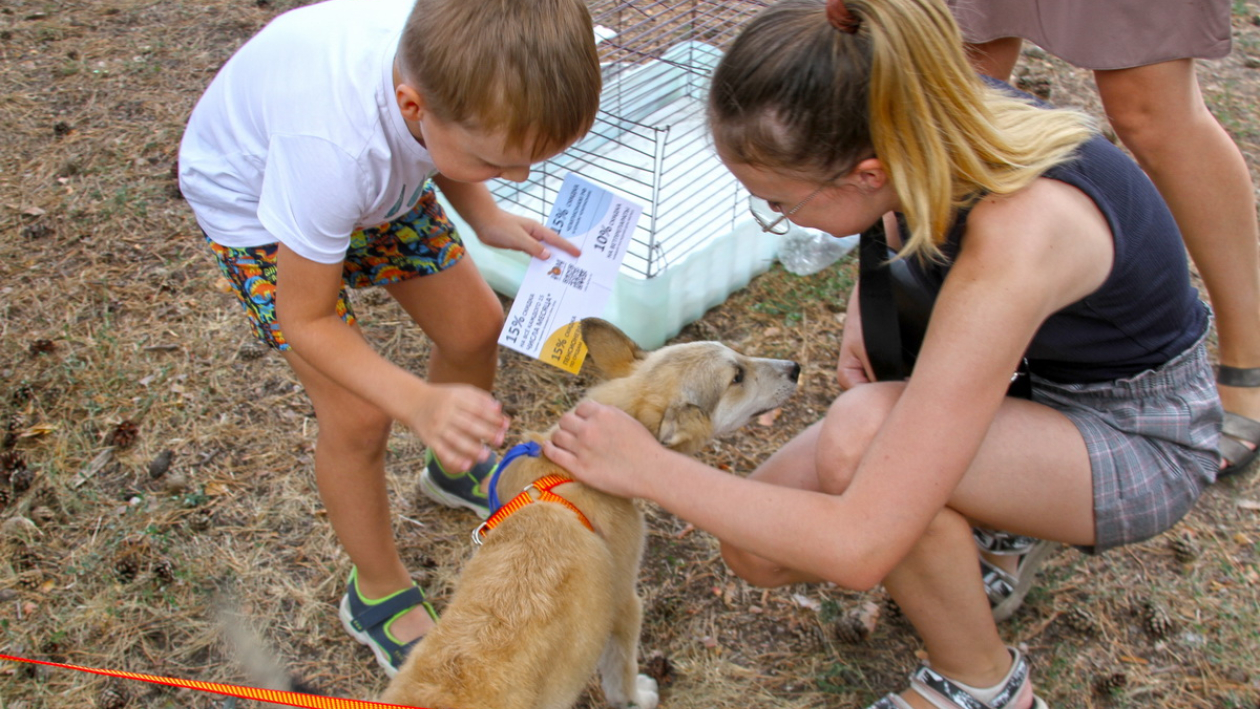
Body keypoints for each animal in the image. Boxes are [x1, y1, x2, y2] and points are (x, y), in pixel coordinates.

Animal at [378, 318, 801, 705]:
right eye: (737, 377)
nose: (795, 367)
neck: (568, 472)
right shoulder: (627, 604)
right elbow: (622, 676)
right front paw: (639, 696)